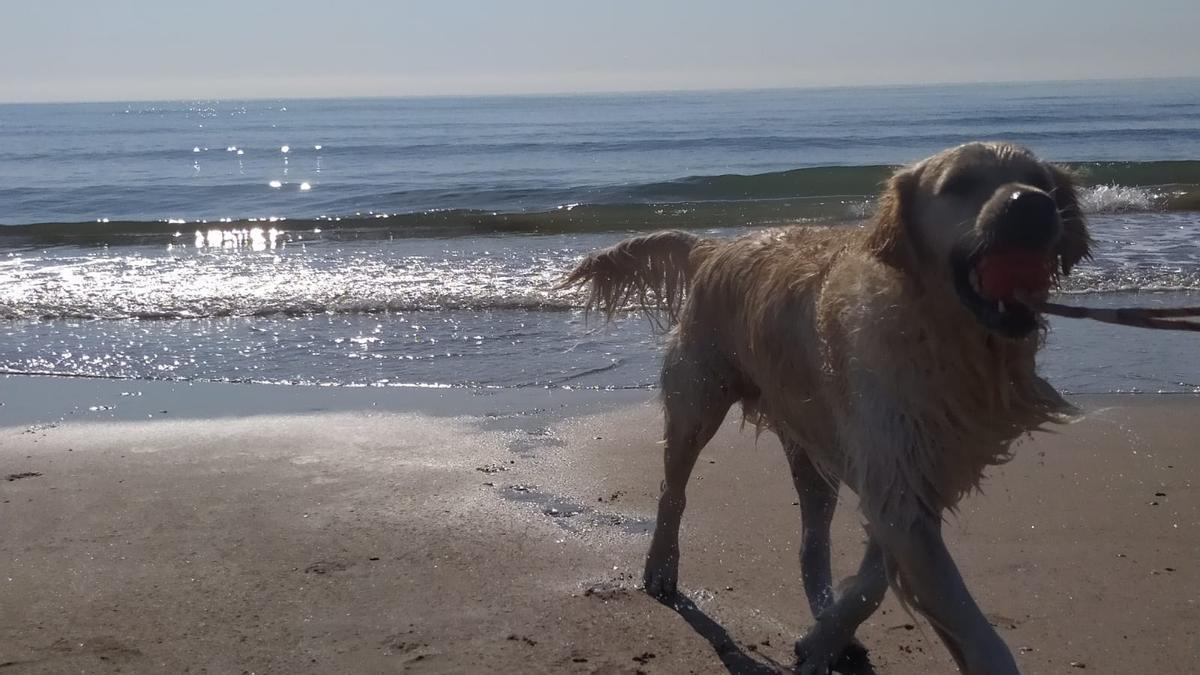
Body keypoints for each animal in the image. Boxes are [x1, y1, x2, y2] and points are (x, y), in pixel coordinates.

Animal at [556, 140, 1094, 667]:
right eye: (959, 184)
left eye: (1042, 181)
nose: (1032, 206)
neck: (944, 337)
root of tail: (718, 246)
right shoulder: (898, 479)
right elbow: (970, 628)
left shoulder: (910, 474)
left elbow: (875, 578)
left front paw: (824, 637)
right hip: (698, 399)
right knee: (674, 490)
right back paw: (661, 568)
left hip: (812, 450)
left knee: (812, 543)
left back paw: (825, 620)